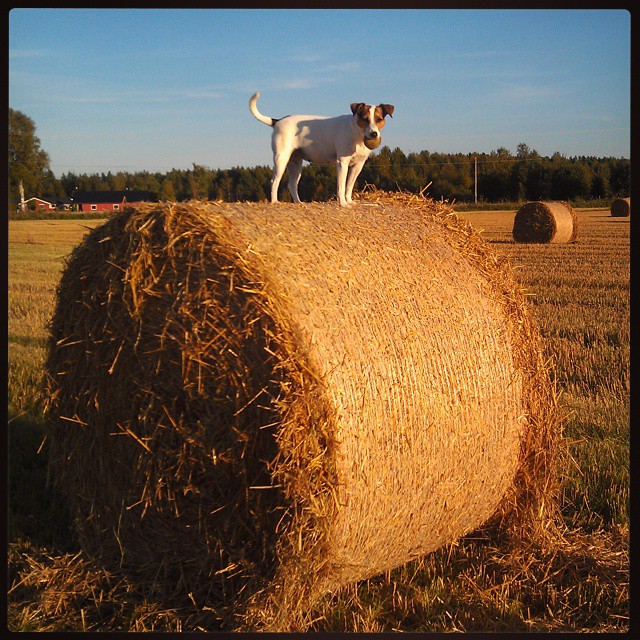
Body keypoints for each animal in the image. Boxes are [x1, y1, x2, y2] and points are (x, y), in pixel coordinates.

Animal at [249, 91, 390, 206]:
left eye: (379, 119)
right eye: (365, 119)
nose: (374, 134)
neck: (357, 133)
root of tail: (278, 121)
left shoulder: (358, 165)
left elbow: (349, 185)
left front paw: (349, 201)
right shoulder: (342, 163)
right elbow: (341, 185)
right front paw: (343, 203)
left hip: (295, 163)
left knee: (292, 184)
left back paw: (299, 203)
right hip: (281, 158)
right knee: (274, 181)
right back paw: (274, 201)